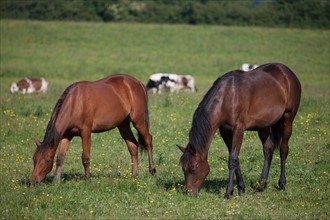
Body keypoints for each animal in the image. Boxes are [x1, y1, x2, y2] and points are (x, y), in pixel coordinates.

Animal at [178, 62, 302, 197]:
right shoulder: (225, 131)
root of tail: (287, 72)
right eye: (183, 168)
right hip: (263, 125)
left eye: (193, 168)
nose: (189, 193)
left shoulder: (238, 129)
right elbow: (235, 158)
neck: (227, 96)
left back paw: (282, 183)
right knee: (268, 150)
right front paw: (240, 188)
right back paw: (261, 185)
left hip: (288, 118)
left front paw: (228, 192)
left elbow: (232, 160)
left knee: (283, 149)